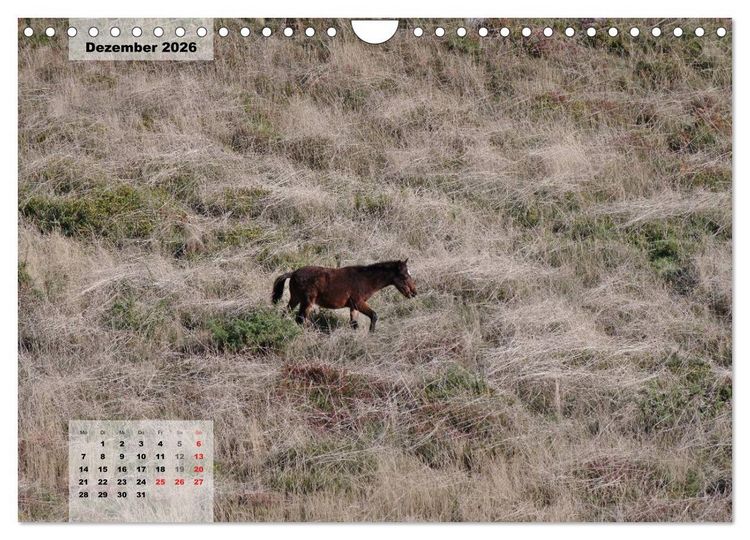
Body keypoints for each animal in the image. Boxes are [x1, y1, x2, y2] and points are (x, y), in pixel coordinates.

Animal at [271, 259, 417, 332]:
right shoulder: (359, 302)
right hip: (307, 302)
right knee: (300, 319)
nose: (414, 293)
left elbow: (354, 324)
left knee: (286, 312)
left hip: (295, 299)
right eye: (404, 276)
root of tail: (293, 273)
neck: (365, 279)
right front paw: (371, 334)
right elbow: (374, 315)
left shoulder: (354, 306)